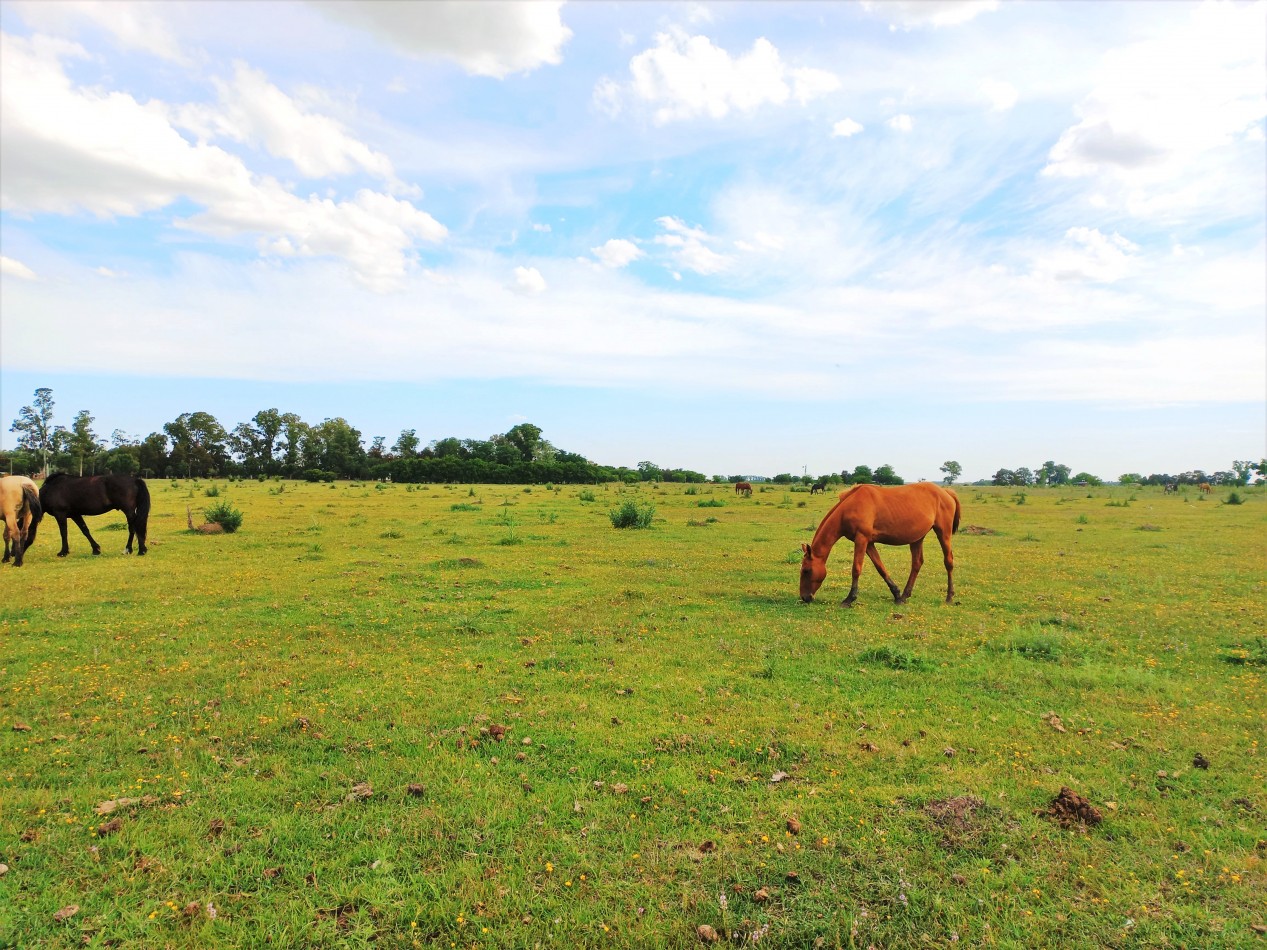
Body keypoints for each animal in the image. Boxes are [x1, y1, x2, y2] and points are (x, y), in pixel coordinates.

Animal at [800, 483, 957, 610]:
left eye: (806, 571)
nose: (804, 597)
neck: (850, 507)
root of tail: (945, 492)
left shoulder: (861, 539)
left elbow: (856, 569)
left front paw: (849, 599)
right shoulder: (868, 543)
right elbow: (880, 568)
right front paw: (896, 595)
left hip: (943, 533)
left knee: (948, 561)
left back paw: (949, 597)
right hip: (917, 538)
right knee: (917, 563)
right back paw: (905, 596)